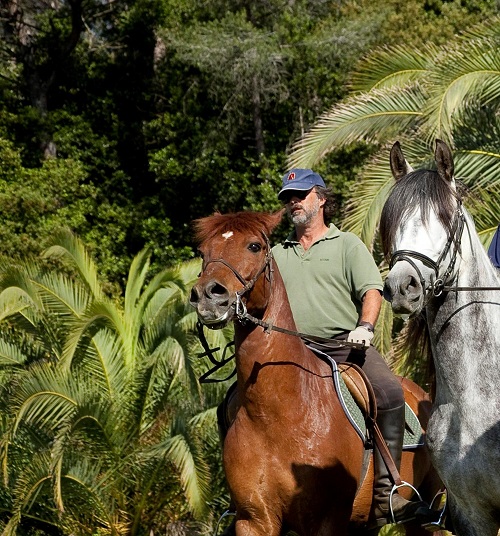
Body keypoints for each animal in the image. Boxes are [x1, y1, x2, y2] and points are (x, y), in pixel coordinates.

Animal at [189, 209, 444, 536]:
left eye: (254, 246)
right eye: (203, 251)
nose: (208, 295)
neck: (278, 412)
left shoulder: (326, 520)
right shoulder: (254, 520)